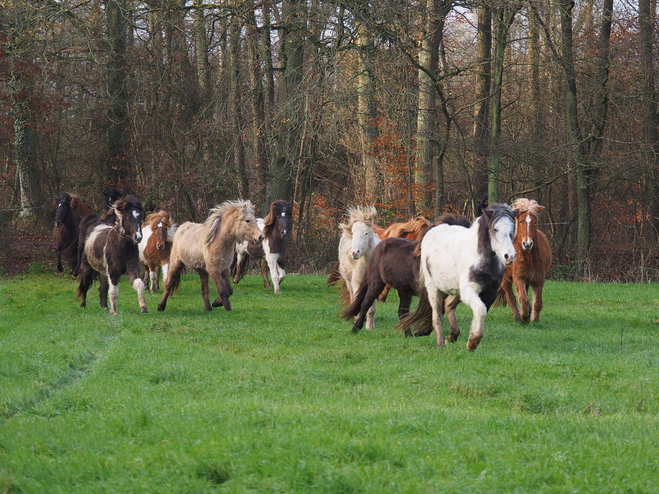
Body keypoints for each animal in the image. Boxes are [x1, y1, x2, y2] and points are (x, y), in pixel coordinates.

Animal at [398, 205, 520, 352]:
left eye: (513, 228)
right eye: (495, 229)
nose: (510, 256)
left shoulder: (489, 293)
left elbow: (481, 311)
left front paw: (472, 340)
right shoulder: (469, 290)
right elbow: (480, 310)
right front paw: (472, 342)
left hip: (456, 290)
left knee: (448, 304)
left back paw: (452, 337)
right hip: (434, 290)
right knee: (437, 317)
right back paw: (441, 345)